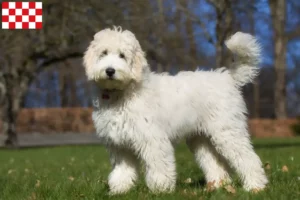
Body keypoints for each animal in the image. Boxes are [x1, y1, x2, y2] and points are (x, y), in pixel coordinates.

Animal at [83, 26, 268, 194]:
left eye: (122, 55)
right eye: (103, 53)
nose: (110, 71)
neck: (121, 94)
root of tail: (227, 77)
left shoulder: (152, 139)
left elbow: (159, 165)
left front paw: (160, 189)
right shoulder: (120, 145)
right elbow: (123, 170)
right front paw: (120, 189)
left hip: (227, 131)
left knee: (248, 158)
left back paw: (255, 186)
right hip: (201, 138)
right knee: (216, 163)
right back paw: (216, 186)